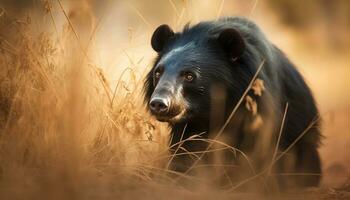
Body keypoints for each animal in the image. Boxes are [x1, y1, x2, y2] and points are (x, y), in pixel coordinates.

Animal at [144, 16, 322, 189]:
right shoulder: (188, 129)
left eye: (189, 76)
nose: (158, 103)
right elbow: (186, 154)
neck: (207, 114)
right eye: (158, 72)